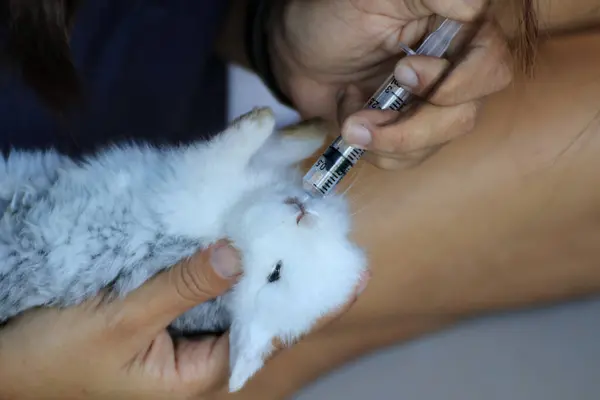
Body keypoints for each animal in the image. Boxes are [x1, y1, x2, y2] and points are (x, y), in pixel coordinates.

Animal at [0, 106, 366, 390]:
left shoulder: (193, 189)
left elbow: (230, 151)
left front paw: (269, 121)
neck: (237, 221)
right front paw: (311, 125)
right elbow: (274, 145)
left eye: (274, 273)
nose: (304, 214)